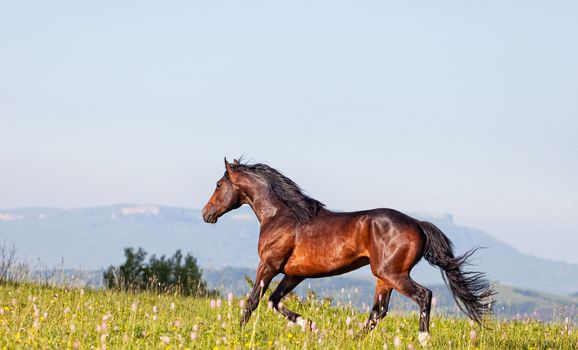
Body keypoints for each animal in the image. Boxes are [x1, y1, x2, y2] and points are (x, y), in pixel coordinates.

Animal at [201, 159, 490, 344]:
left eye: (218, 184)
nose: (206, 214)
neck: (281, 215)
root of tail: (418, 224)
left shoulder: (269, 265)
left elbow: (253, 301)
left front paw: (236, 333)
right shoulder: (294, 274)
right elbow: (274, 301)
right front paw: (312, 327)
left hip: (393, 274)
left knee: (423, 296)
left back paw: (423, 339)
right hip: (383, 278)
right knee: (378, 312)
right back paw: (353, 340)